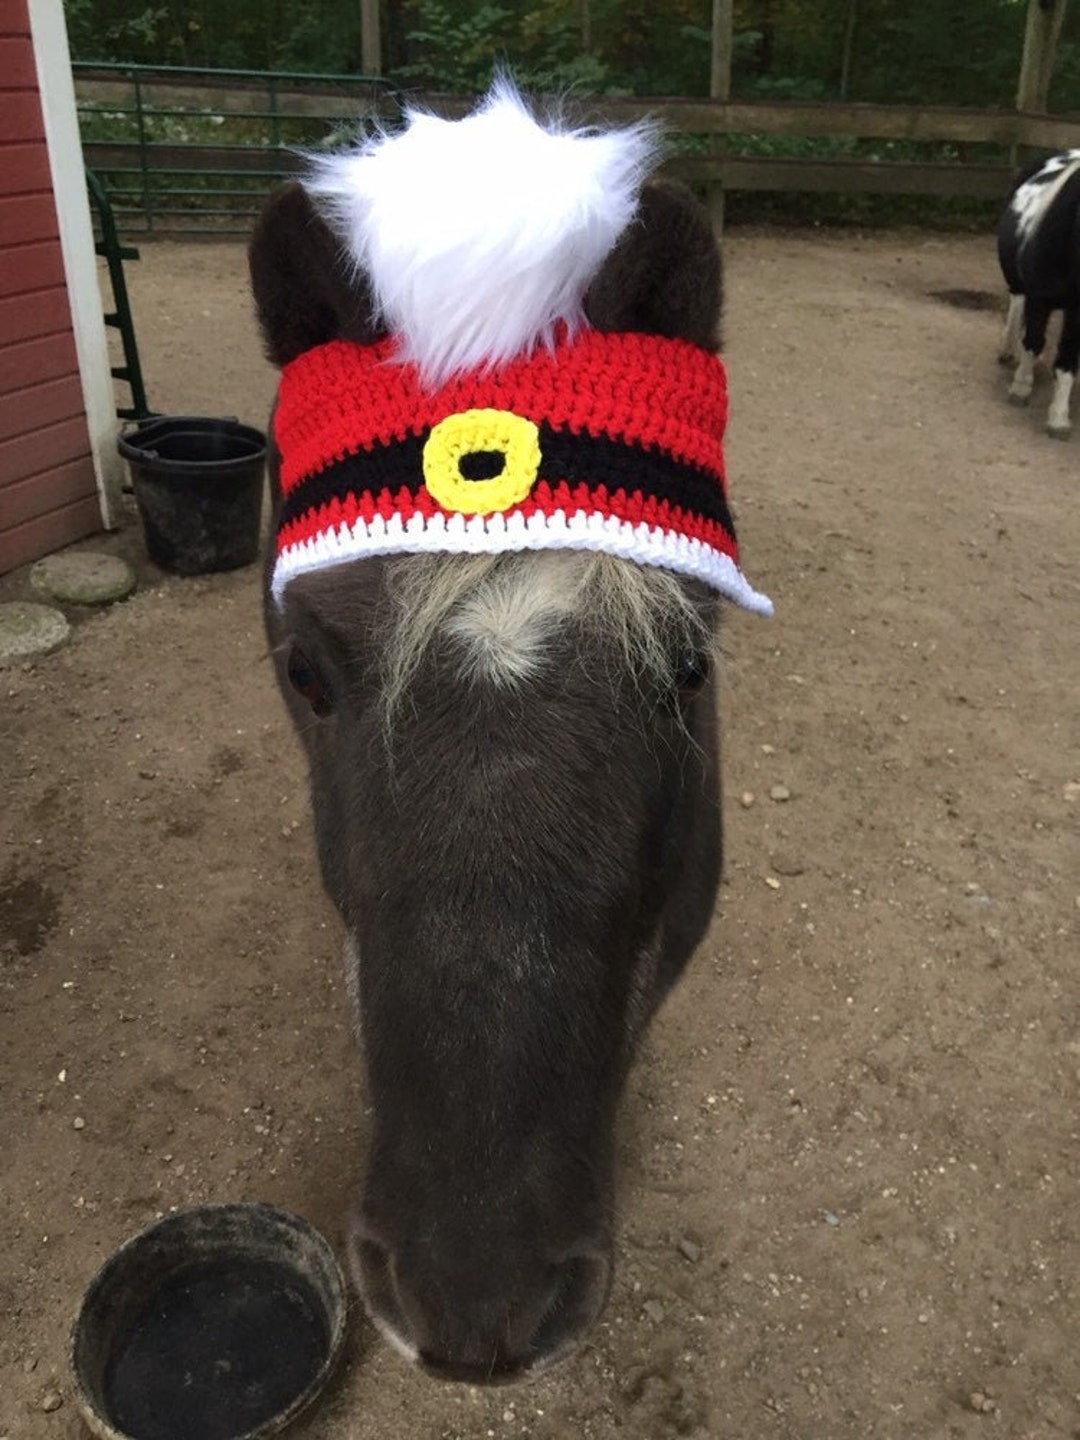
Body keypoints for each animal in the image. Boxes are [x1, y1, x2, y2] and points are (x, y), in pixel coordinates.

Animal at [997, 149, 1080, 438]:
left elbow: (1067, 358)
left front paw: (1058, 418)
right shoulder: (1039, 298)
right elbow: (1033, 340)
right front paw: (1021, 387)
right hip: (1018, 283)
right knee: (1017, 303)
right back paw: (1009, 352)